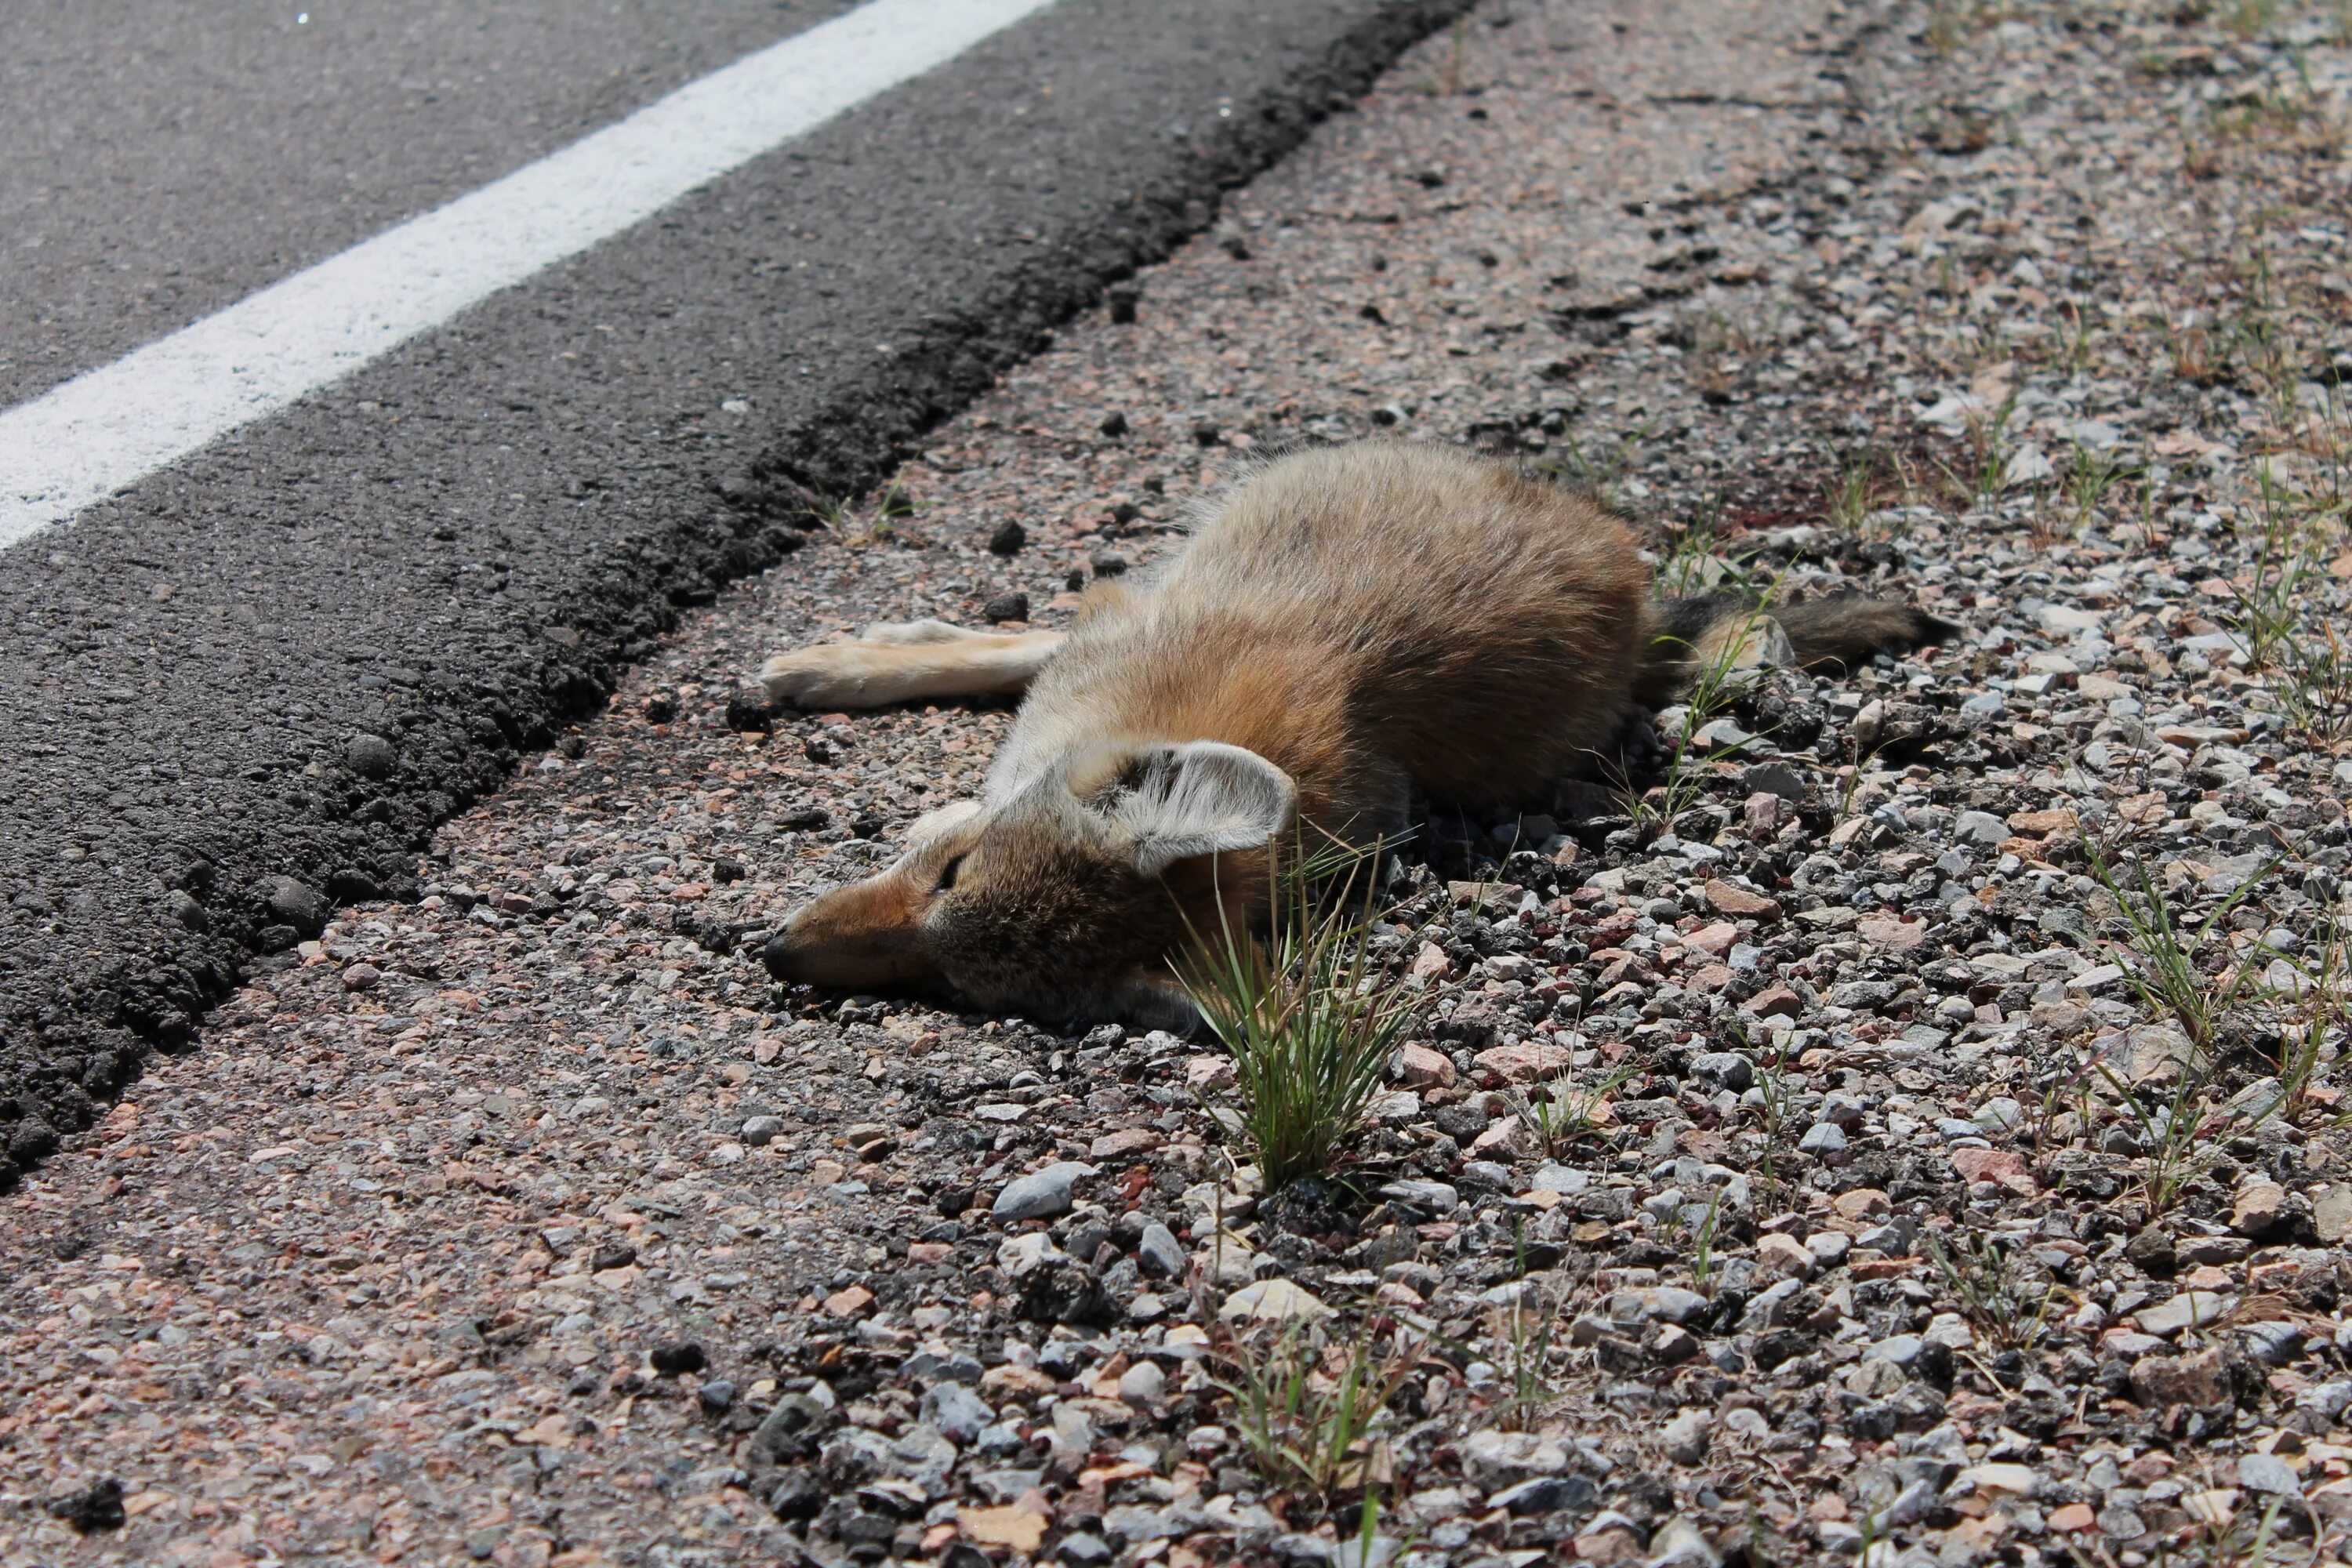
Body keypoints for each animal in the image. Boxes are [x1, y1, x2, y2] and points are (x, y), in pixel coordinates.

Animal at [762, 441, 1957, 1029]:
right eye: (951, 875)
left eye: (957, 987)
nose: (775, 955)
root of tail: (1633, 587)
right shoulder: (1110, 624)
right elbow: (1001, 650)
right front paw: (847, 667)